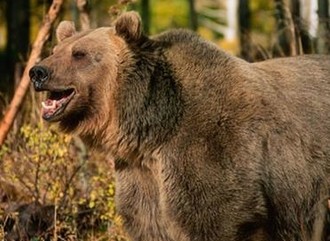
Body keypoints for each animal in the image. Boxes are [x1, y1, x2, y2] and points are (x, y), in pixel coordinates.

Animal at [30, 11, 330, 241]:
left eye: (79, 54)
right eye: (55, 50)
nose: (38, 71)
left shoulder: (210, 148)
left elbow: (217, 215)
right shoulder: (141, 174)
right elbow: (147, 221)